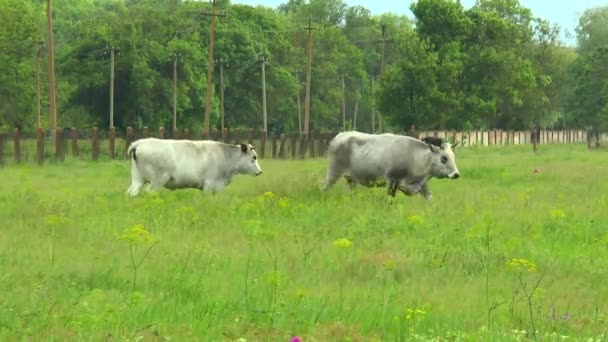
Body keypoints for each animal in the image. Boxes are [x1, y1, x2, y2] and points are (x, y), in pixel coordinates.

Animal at [126, 138, 262, 196]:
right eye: (254, 157)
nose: (260, 172)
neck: (225, 155)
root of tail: (139, 143)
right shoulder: (209, 184)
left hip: (138, 180)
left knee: (132, 192)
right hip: (157, 181)